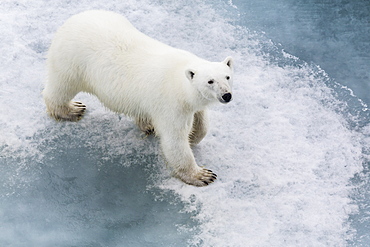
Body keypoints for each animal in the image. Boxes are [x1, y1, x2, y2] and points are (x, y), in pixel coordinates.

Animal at [44, 10, 234, 187]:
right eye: (210, 81)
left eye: (227, 77)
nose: (226, 95)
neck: (180, 78)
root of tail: (73, 19)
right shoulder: (172, 104)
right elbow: (175, 140)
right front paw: (202, 175)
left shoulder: (190, 103)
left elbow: (201, 121)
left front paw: (194, 137)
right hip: (73, 62)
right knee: (62, 87)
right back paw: (71, 109)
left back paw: (147, 124)